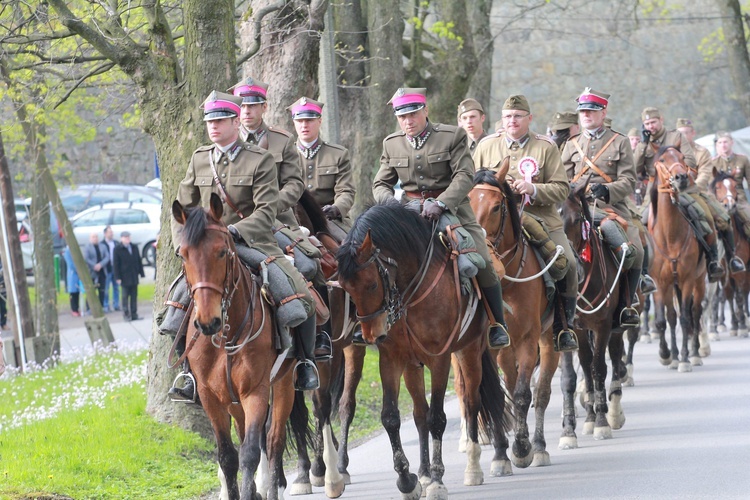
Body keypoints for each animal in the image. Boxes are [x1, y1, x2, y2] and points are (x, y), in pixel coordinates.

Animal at [173, 194, 308, 500]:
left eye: (222, 252)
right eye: (183, 255)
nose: (207, 321)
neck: (226, 336)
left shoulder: (255, 392)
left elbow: (249, 453)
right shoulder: (211, 397)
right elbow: (227, 456)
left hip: (282, 384)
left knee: (273, 440)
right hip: (232, 400)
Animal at [340, 202, 512, 496]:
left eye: (371, 284)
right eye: (345, 288)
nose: (373, 335)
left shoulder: (439, 359)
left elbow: (437, 419)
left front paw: (438, 481)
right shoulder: (392, 359)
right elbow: (391, 417)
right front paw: (407, 479)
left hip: (470, 351)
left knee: (471, 403)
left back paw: (475, 467)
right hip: (413, 366)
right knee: (420, 413)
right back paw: (423, 473)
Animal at [470, 163, 560, 472]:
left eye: (497, 206)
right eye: (466, 202)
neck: (506, 282)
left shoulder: (529, 340)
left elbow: (522, 395)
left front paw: (522, 449)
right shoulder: (491, 346)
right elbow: (498, 395)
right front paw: (500, 454)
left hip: (549, 340)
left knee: (542, 393)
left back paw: (540, 446)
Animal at [560, 182, 632, 448]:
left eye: (576, 219)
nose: (573, 268)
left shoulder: (602, 325)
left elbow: (598, 367)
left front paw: (601, 422)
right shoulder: (574, 330)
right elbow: (580, 370)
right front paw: (582, 423)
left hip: (617, 324)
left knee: (615, 354)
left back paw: (614, 412)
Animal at [648, 146, 708, 372]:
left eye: (682, 158)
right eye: (663, 159)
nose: (681, 177)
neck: (670, 237)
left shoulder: (688, 279)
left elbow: (684, 318)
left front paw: (683, 359)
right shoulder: (660, 283)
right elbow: (665, 320)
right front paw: (668, 355)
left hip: (699, 281)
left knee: (695, 312)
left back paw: (695, 352)